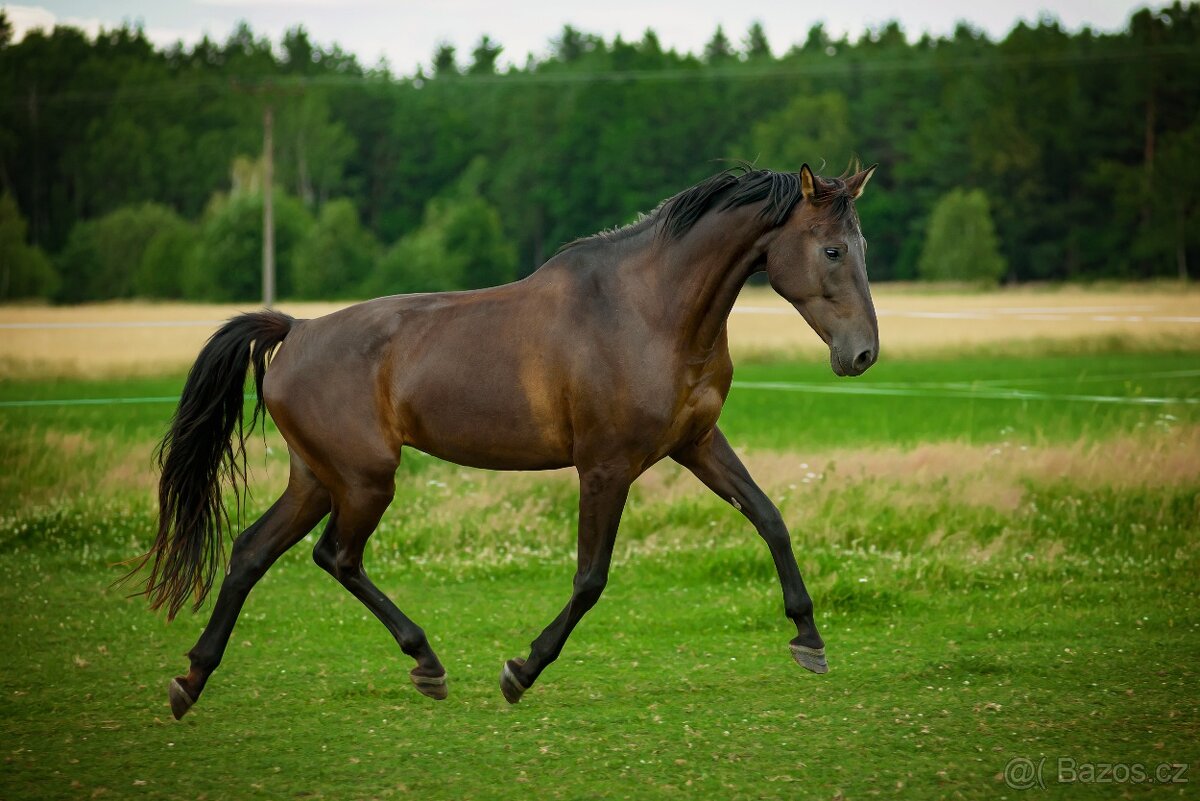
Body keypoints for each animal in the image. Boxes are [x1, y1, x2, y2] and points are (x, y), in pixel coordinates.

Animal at [133, 164, 883, 719]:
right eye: (832, 248)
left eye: (863, 247)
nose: (863, 354)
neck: (649, 310)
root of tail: (296, 330)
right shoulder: (605, 466)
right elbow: (590, 578)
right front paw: (521, 669)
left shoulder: (695, 442)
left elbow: (770, 517)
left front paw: (808, 638)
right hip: (364, 479)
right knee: (335, 555)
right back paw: (424, 663)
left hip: (319, 477)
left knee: (253, 552)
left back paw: (192, 681)